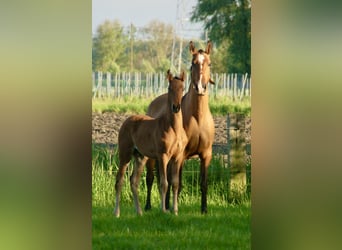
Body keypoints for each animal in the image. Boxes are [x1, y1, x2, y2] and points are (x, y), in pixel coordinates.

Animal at [113, 70, 186, 217]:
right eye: (170, 88)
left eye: (183, 88)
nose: (176, 107)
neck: (173, 128)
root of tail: (127, 120)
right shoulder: (162, 156)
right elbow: (164, 183)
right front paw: (164, 210)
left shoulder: (177, 157)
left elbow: (175, 183)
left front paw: (175, 211)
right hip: (125, 155)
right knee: (119, 180)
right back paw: (117, 212)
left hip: (140, 157)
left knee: (133, 181)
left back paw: (139, 212)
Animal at [145, 40, 215, 213]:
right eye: (192, 64)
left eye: (209, 63)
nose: (200, 87)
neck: (198, 118)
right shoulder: (181, 155)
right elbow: (176, 182)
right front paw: (172, 208)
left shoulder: (206, 154)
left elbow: (203, 183)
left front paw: (204, 209)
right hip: (151, 158)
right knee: (150, 179)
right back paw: (149, 206)